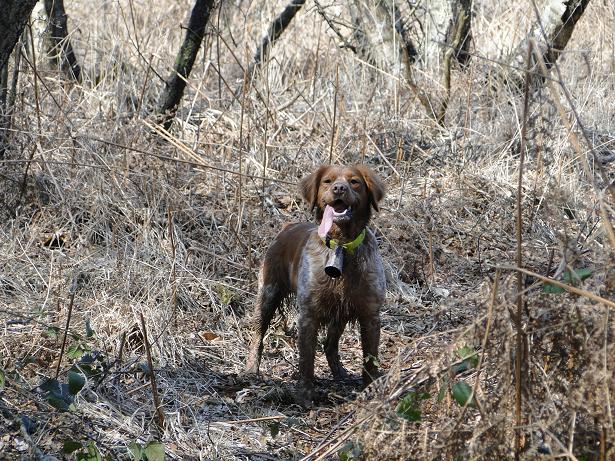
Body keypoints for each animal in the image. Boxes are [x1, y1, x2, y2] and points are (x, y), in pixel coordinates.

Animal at [245, 164, 384, 400]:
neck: (341, 247)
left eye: (354, 181)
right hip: (268, 294)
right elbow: (306, 360)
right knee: (257, 334)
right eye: (327, 181)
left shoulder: (370, 314)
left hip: (340, 314)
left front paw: (370, 390)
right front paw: (305, 395)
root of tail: (287, 226)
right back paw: (251, 369)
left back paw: (339, 373)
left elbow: (370, 360)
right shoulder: (309, 313)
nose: (339, 188)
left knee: (329, 345)